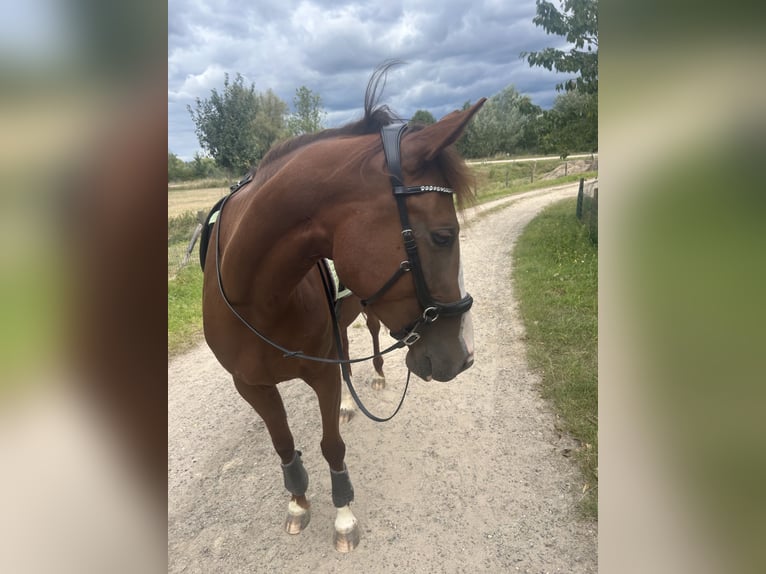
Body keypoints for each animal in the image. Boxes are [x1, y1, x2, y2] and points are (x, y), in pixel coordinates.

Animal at [201, 63, 485, 552]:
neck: (256, 298)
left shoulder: (321, 373)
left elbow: (331, 445)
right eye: (444, 235)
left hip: (366, 315)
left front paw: (343, 516)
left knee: (365, 340)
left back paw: (369, 382)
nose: (464, 355)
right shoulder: (251, 384)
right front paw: (298, 503)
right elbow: (283, 443)